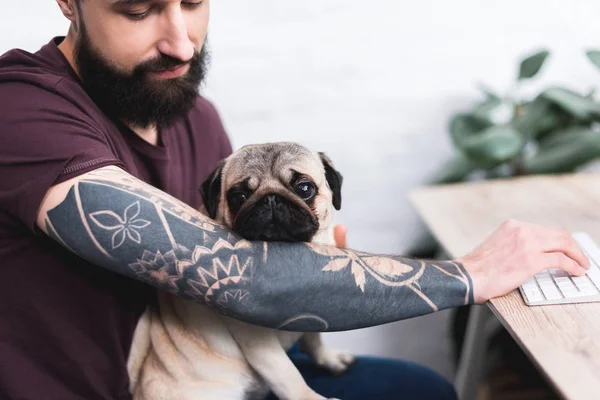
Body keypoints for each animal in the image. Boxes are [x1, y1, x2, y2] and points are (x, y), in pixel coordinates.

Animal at [126, 143, 352, 400]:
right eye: (238, 197)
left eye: (304, 188)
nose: (271, 199)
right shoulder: (257, 339)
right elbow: (289, 376)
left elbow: (314, 339)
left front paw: (329, 359)